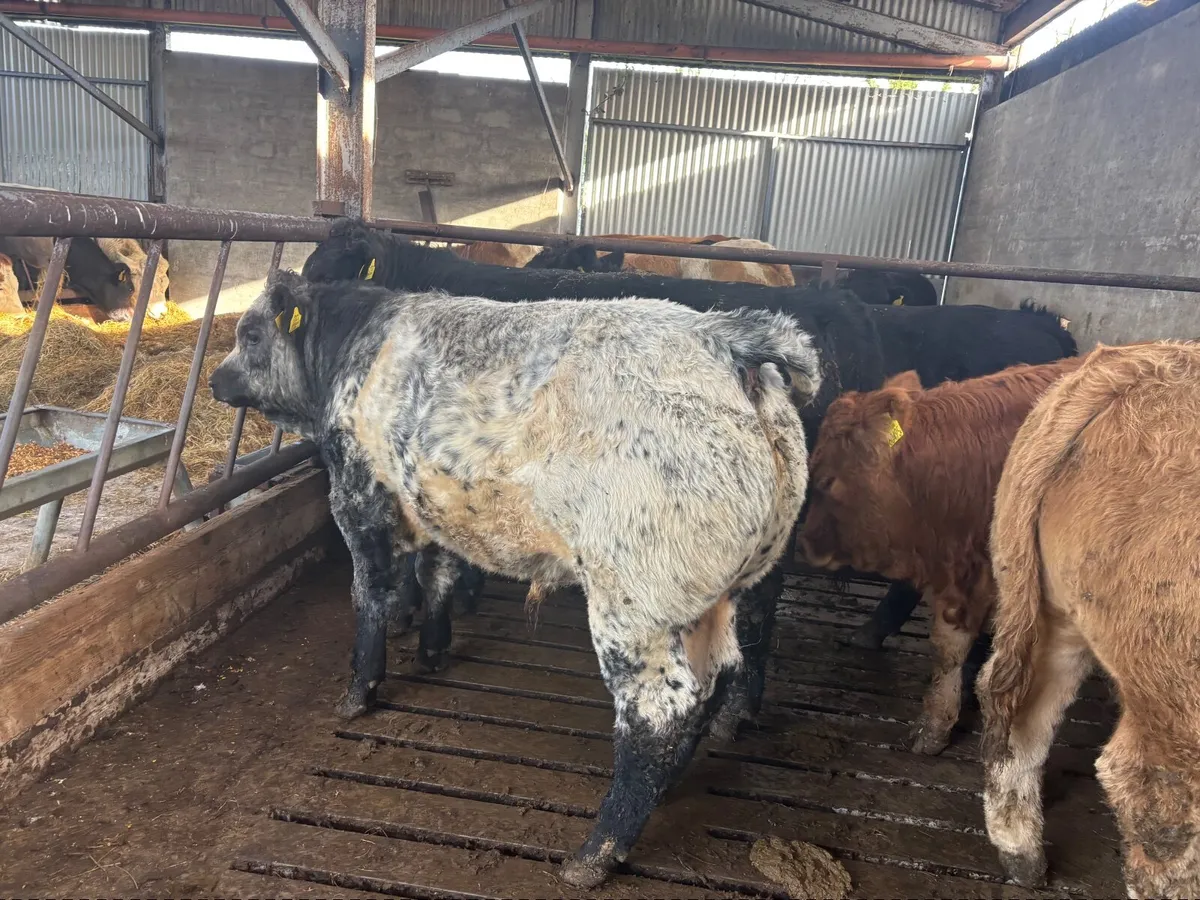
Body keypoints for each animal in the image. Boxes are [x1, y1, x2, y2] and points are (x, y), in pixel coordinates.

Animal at [209, 269, 817, 889]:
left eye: (251, 333)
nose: (215, 379)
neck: (356, 345)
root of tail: (726, 338)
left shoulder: (358, 493)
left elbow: (371, 594)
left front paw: (359, 691)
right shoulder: (432, 500)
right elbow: (438, 572)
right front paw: (432, 652)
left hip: (636, 602)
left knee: (659, 713)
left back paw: (594, 854)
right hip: (736, 587)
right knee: (722, 676)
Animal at [977, 341, 1200, 896]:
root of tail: (1141, 367)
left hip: (1046, 611)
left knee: (1017, 713)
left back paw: (1021, 854)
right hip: (1175, 690)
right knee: (1155, 799)